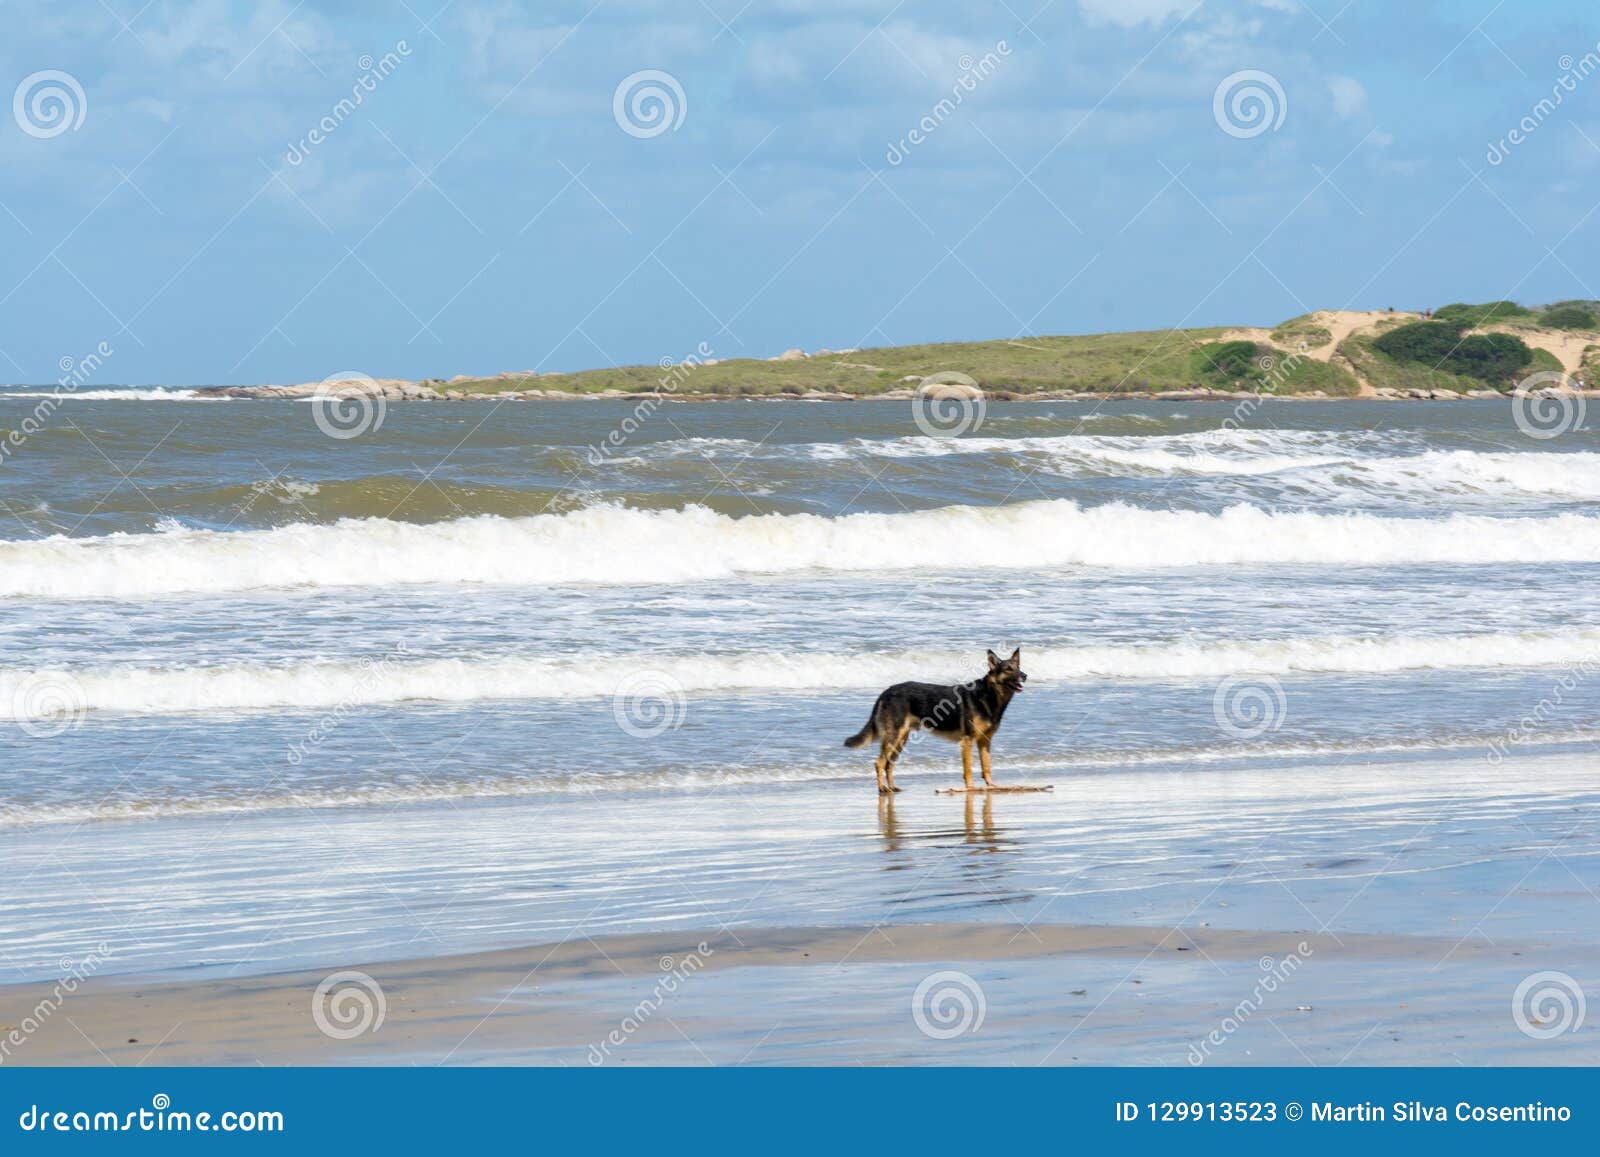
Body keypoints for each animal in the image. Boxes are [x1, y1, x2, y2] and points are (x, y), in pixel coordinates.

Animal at [844, 643, 1030, 796]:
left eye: (1018, 667)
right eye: (1008, 669)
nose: (1025, 675)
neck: (988, 695)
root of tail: (887, 691)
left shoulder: (985, 741)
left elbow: (987, 766)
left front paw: (991, 787)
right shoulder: (967, 741)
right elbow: (968, 770)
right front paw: (970, 789)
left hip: (900, 739)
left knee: (889, 764)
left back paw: (892, 787)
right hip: (894, 737)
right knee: (879, 763)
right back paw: (882, 788)